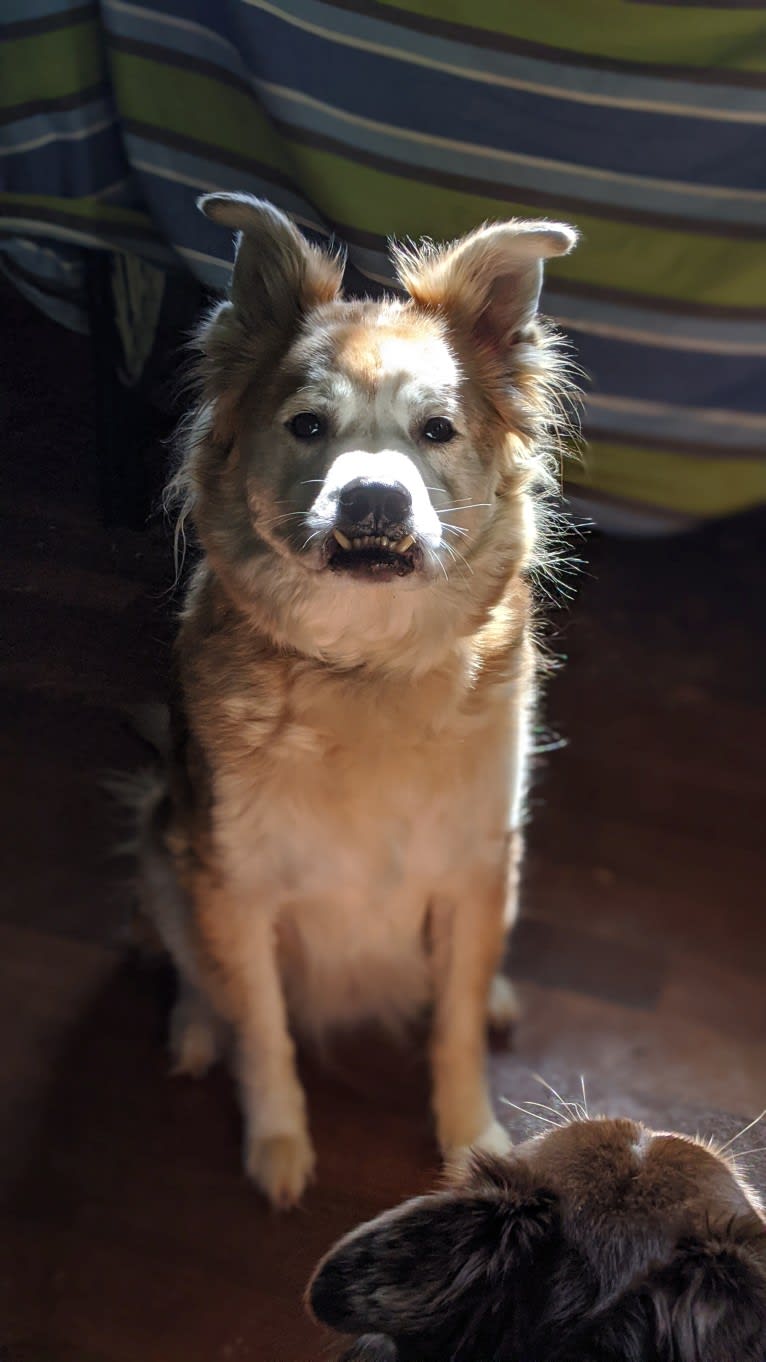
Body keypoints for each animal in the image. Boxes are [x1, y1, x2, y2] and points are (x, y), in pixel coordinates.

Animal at [136, 192, 575, 1204]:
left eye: (437, 431)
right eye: (306, 426)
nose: (374, 501)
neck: (369, 668)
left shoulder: (475, 866)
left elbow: (454, 1025)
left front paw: (471, 1136)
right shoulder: (234, 881)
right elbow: (263, 1029)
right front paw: (278, 1140)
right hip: (163, 838)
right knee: (194, 969)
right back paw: (192, 1028)